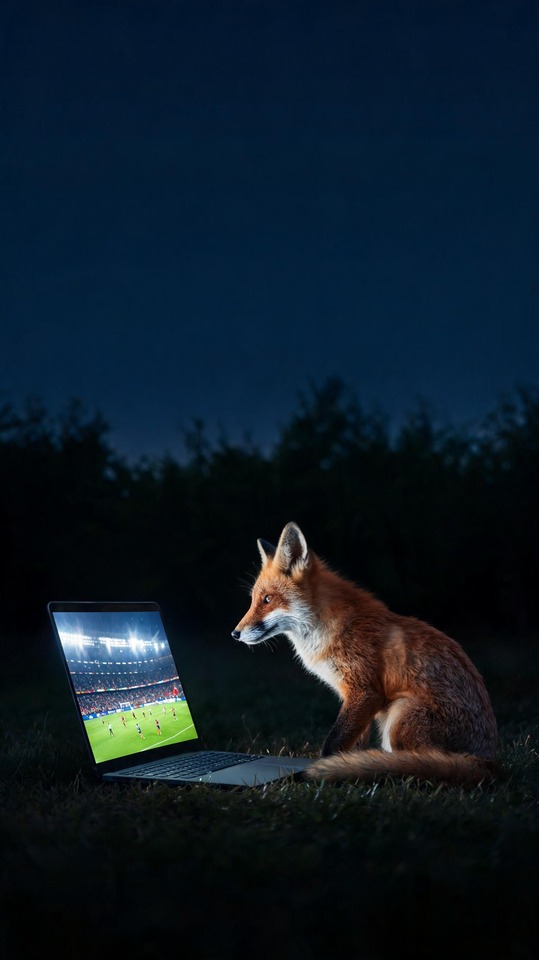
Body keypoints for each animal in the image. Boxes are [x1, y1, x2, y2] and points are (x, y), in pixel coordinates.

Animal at [232, 521, 498, 786]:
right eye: (254, 599)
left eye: (268, 599)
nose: (235, 633)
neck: (330, 629)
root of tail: (487, 763)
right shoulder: (354, 698)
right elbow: (351, 744)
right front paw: (346, 767)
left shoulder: (365, 691)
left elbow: (334, 742)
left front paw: (327, 769)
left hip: (399, 714)